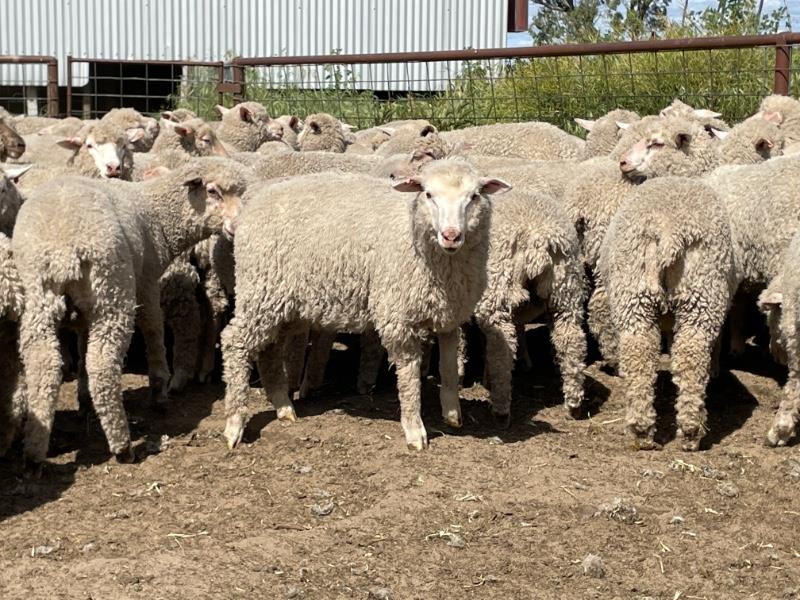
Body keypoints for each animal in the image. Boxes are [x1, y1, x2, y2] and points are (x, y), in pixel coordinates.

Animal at [12, 157, 248, 466]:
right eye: (213, 191)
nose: (237, 227)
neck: (155, 215)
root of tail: (64, 250)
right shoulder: (147, 280)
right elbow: (153, 327)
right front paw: (159, 389)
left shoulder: (87, 311)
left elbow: (82, 345)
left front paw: (84, 400)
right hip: (113, 290)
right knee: (102, 365)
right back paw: (122, 445)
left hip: (39, 296)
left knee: (43, 363)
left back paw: (34, 453)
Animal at [220, 159, 506, 450]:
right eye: (428, 194)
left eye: (474, 196)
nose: (451, 235)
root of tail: (253, 206)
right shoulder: (397, 316)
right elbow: (409, 377)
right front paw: (415, 430)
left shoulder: (449, 314)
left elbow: (447, 367)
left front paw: (452, 415)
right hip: (259, 291)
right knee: (235, 343)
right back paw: (234, 424)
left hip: (285, 307)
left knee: (269, 349)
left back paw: (283, 406)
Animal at [596, 178, 736, 450]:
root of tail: (670, 227)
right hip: (700, 292)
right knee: (688, 357)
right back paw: (685, 431)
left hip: (639, 293)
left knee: (643, 356)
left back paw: (650, 431)